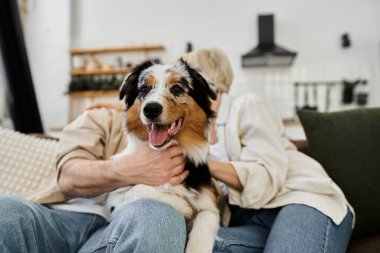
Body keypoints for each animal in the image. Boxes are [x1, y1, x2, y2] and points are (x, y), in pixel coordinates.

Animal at [105, 58, 221, 252]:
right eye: (144, 88)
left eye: (177, 89)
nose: (151, 109)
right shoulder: (112, 200)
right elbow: (138, 188)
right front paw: (183, 205)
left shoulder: (210, 206)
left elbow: (204, 221)